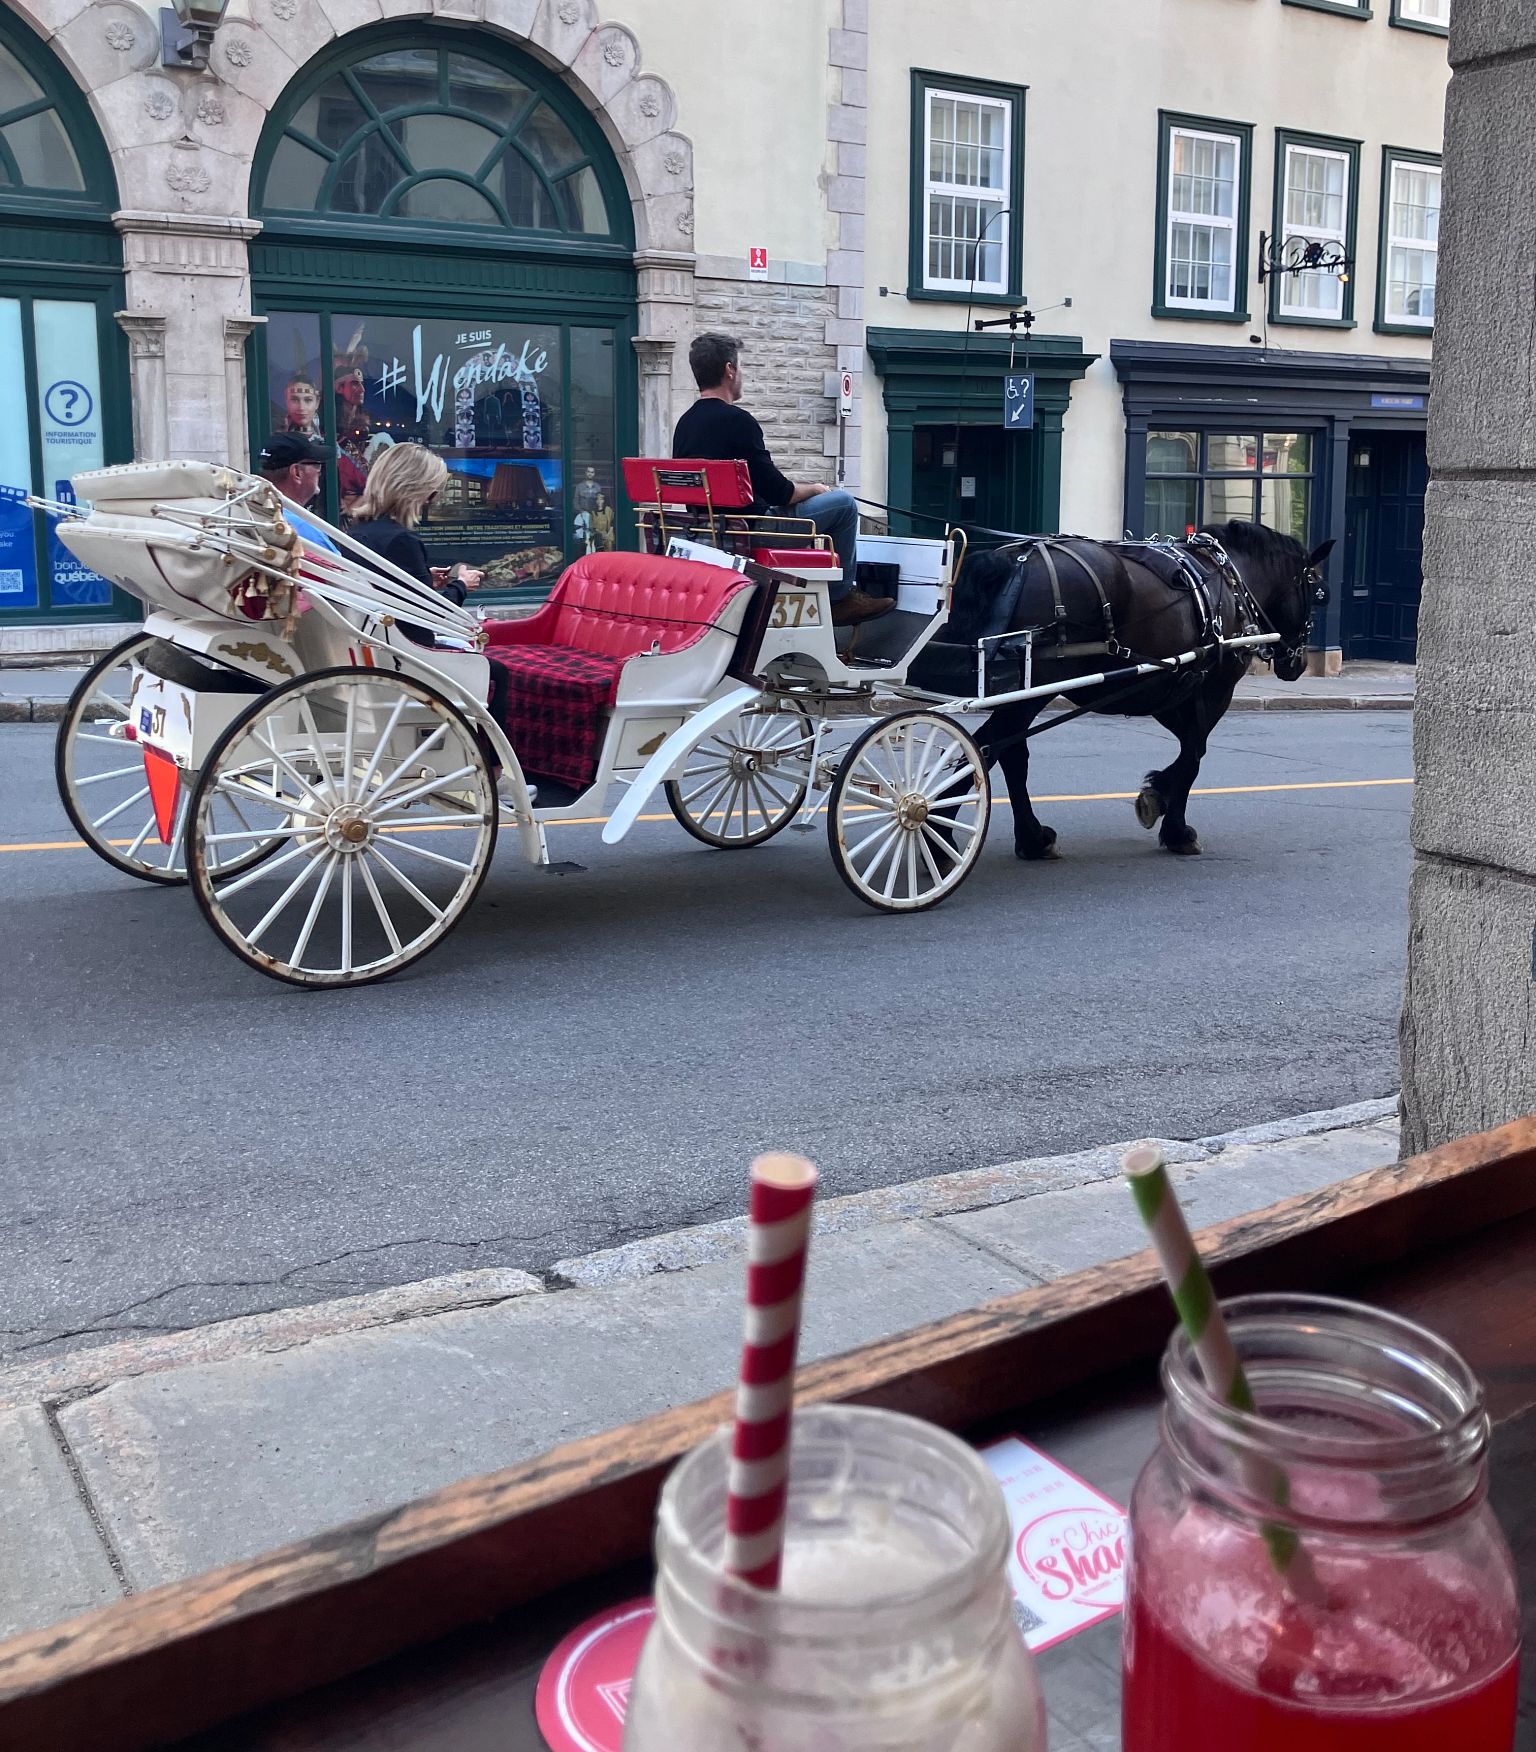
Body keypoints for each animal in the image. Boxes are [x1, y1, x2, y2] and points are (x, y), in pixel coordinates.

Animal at [945, 522, 1332, 860]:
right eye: (1315, 593)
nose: (1297, 663)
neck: (1230, 584)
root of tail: (1016, 560)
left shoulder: (1166, 687)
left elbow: (1190, 748)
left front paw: (1157, 793)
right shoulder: (1215, 688)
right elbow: (1194, 754)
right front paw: (1175, 827)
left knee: (1006, 752)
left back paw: (1027, 838)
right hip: (1032, 692)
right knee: (990, 748)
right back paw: (951, 832)